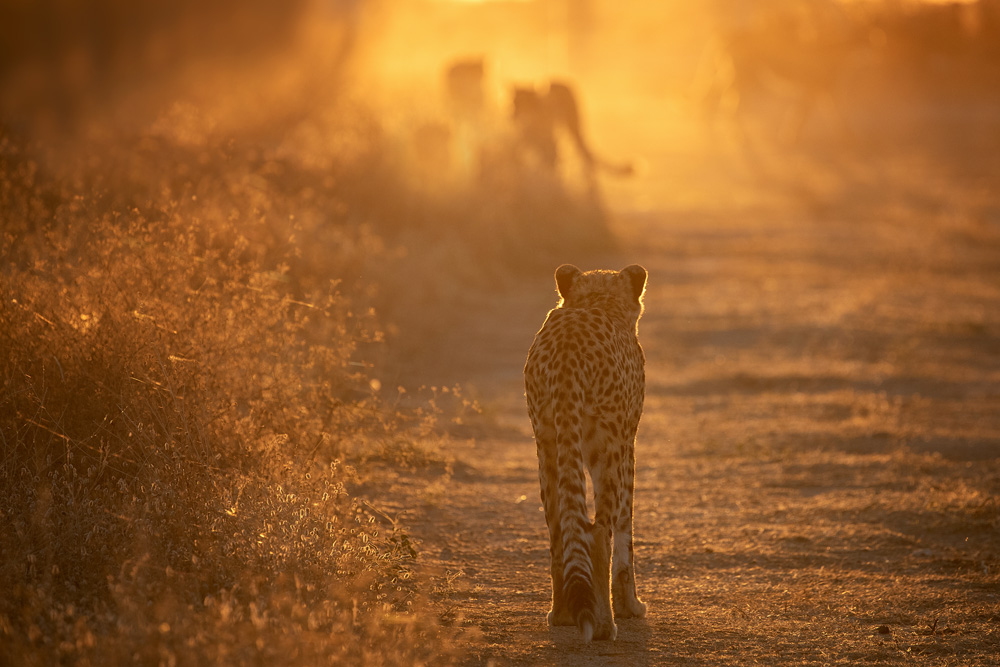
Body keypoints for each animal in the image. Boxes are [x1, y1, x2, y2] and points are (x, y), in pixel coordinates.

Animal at [524, 264, 648, 640]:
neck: (598, 301)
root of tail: (568, 347)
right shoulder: (626, 443)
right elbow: (625, 528)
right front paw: (630, 606)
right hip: (606, 449)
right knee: (596, 533)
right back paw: (605, 625)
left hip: (548, 442)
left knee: (559, 529)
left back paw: (562, 614)